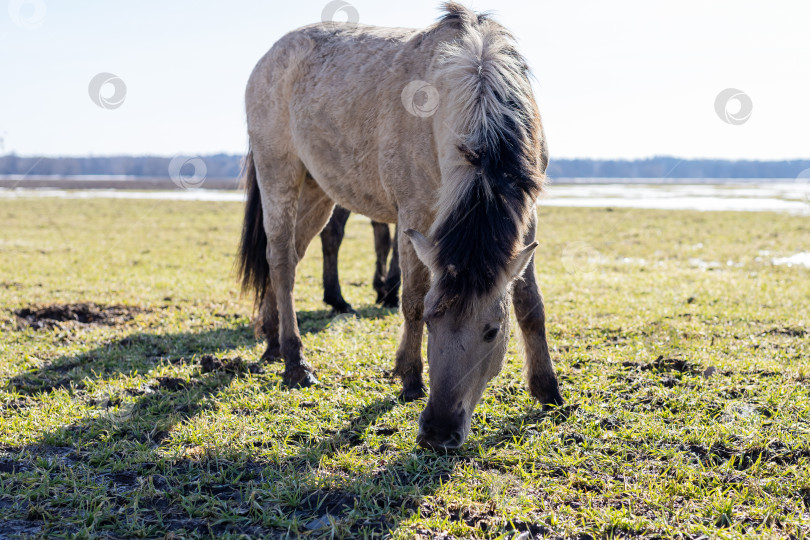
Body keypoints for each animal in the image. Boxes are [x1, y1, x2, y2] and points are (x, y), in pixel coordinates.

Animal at [237, 2, 563, 449]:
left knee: (287, 255)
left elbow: (530, 304)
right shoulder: (414, 216)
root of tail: (269, 56)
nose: (439, 432)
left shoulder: (527, 219)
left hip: (318, 190)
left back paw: (271, 340)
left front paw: (548, 389)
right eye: (432, 322)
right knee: (282, 260)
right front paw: (409, 378)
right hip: (279, 173)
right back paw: (294, 360)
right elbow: (411, 298)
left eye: (492, 331)